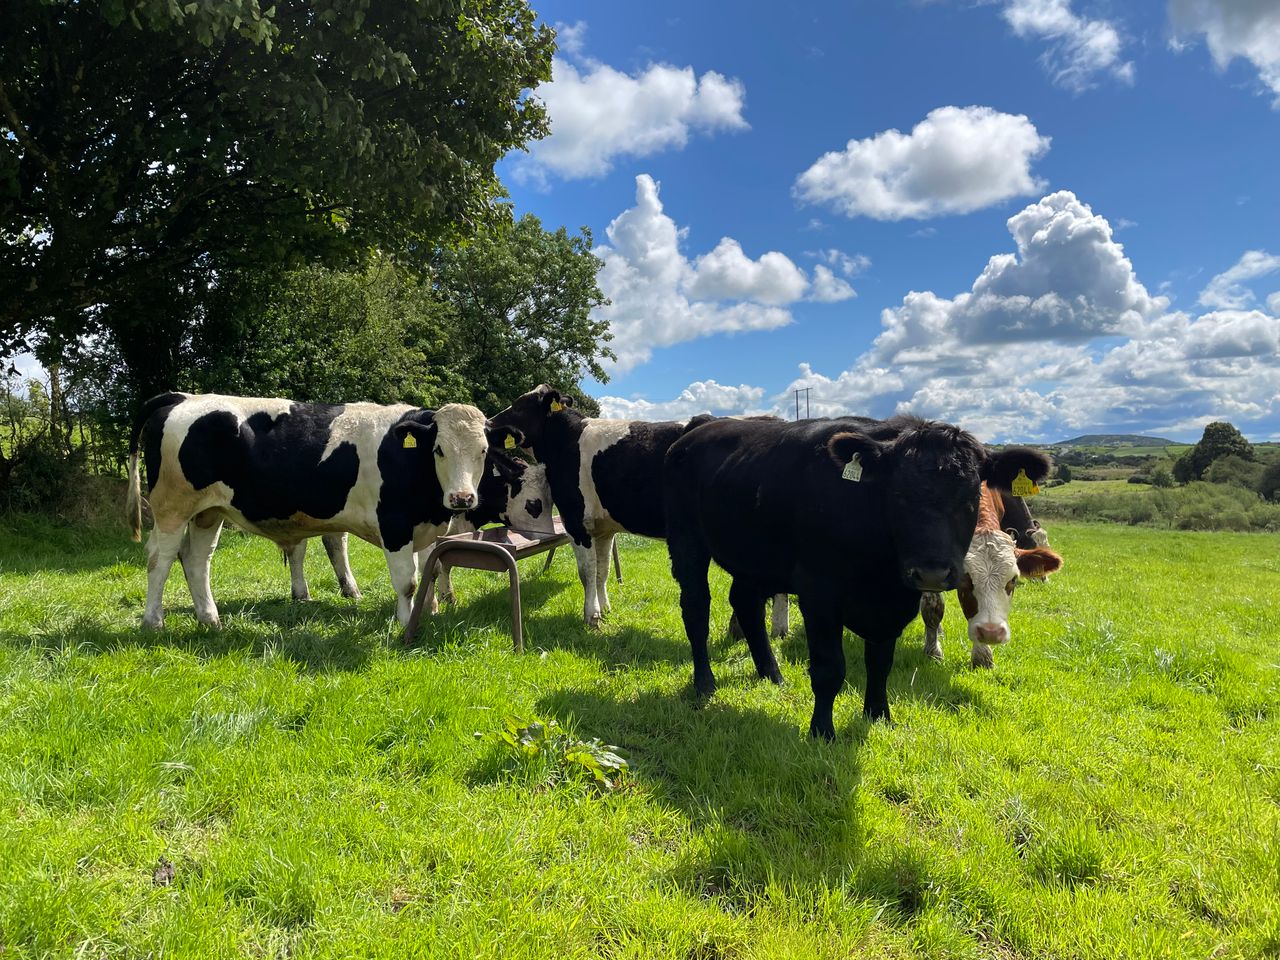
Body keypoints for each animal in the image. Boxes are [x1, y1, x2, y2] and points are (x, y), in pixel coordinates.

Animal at [125, 392, 524, 628]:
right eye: (439, 450)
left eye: (483, 450)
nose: (462, 498)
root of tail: (183, 396)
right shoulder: (395, 526)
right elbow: (407, 582)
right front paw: (404, 622)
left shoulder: (428, 526)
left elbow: (433, 567)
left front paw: (431, 613)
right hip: (172, 507)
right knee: (160, 559)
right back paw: (153, 621)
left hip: (209, 512)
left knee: (196, 560)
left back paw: (210, 619)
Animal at [919, 484, 1062, 668]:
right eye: (964, 579)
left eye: (1013, 579)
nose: (990, 633)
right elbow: (933, 608)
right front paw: (933, 652)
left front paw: (983, 655)